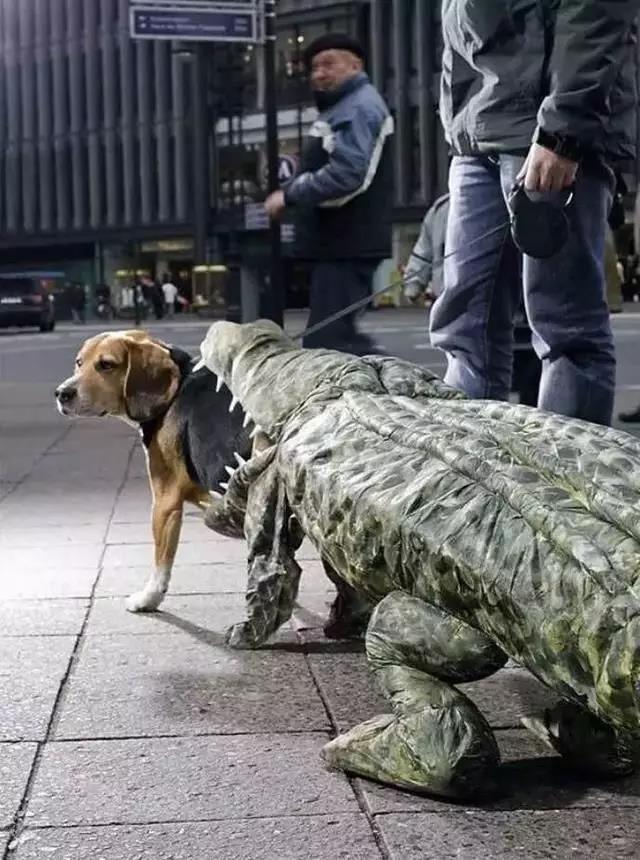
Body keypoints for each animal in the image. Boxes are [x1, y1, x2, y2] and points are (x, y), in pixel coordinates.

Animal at [55, 330, 251, 612]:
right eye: (79, 362)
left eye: (106, 365)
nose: (61, 393)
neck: (175, 390)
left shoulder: (165, 502)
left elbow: (161, 562)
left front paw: (148, 598)